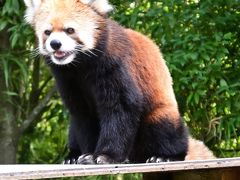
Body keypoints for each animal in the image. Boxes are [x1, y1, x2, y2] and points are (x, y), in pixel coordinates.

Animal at [24, 0, 189, 164]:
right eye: (47, 32)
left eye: (70, 30)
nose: (55, 43)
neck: (79, 66)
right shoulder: (67, 80)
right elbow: (82, 116)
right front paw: (88, 154)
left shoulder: (115, 66)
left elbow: (120, 109)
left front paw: (106, 156)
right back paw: (72, 156)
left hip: (160, 112)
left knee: (163, 127)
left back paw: (165, 156)